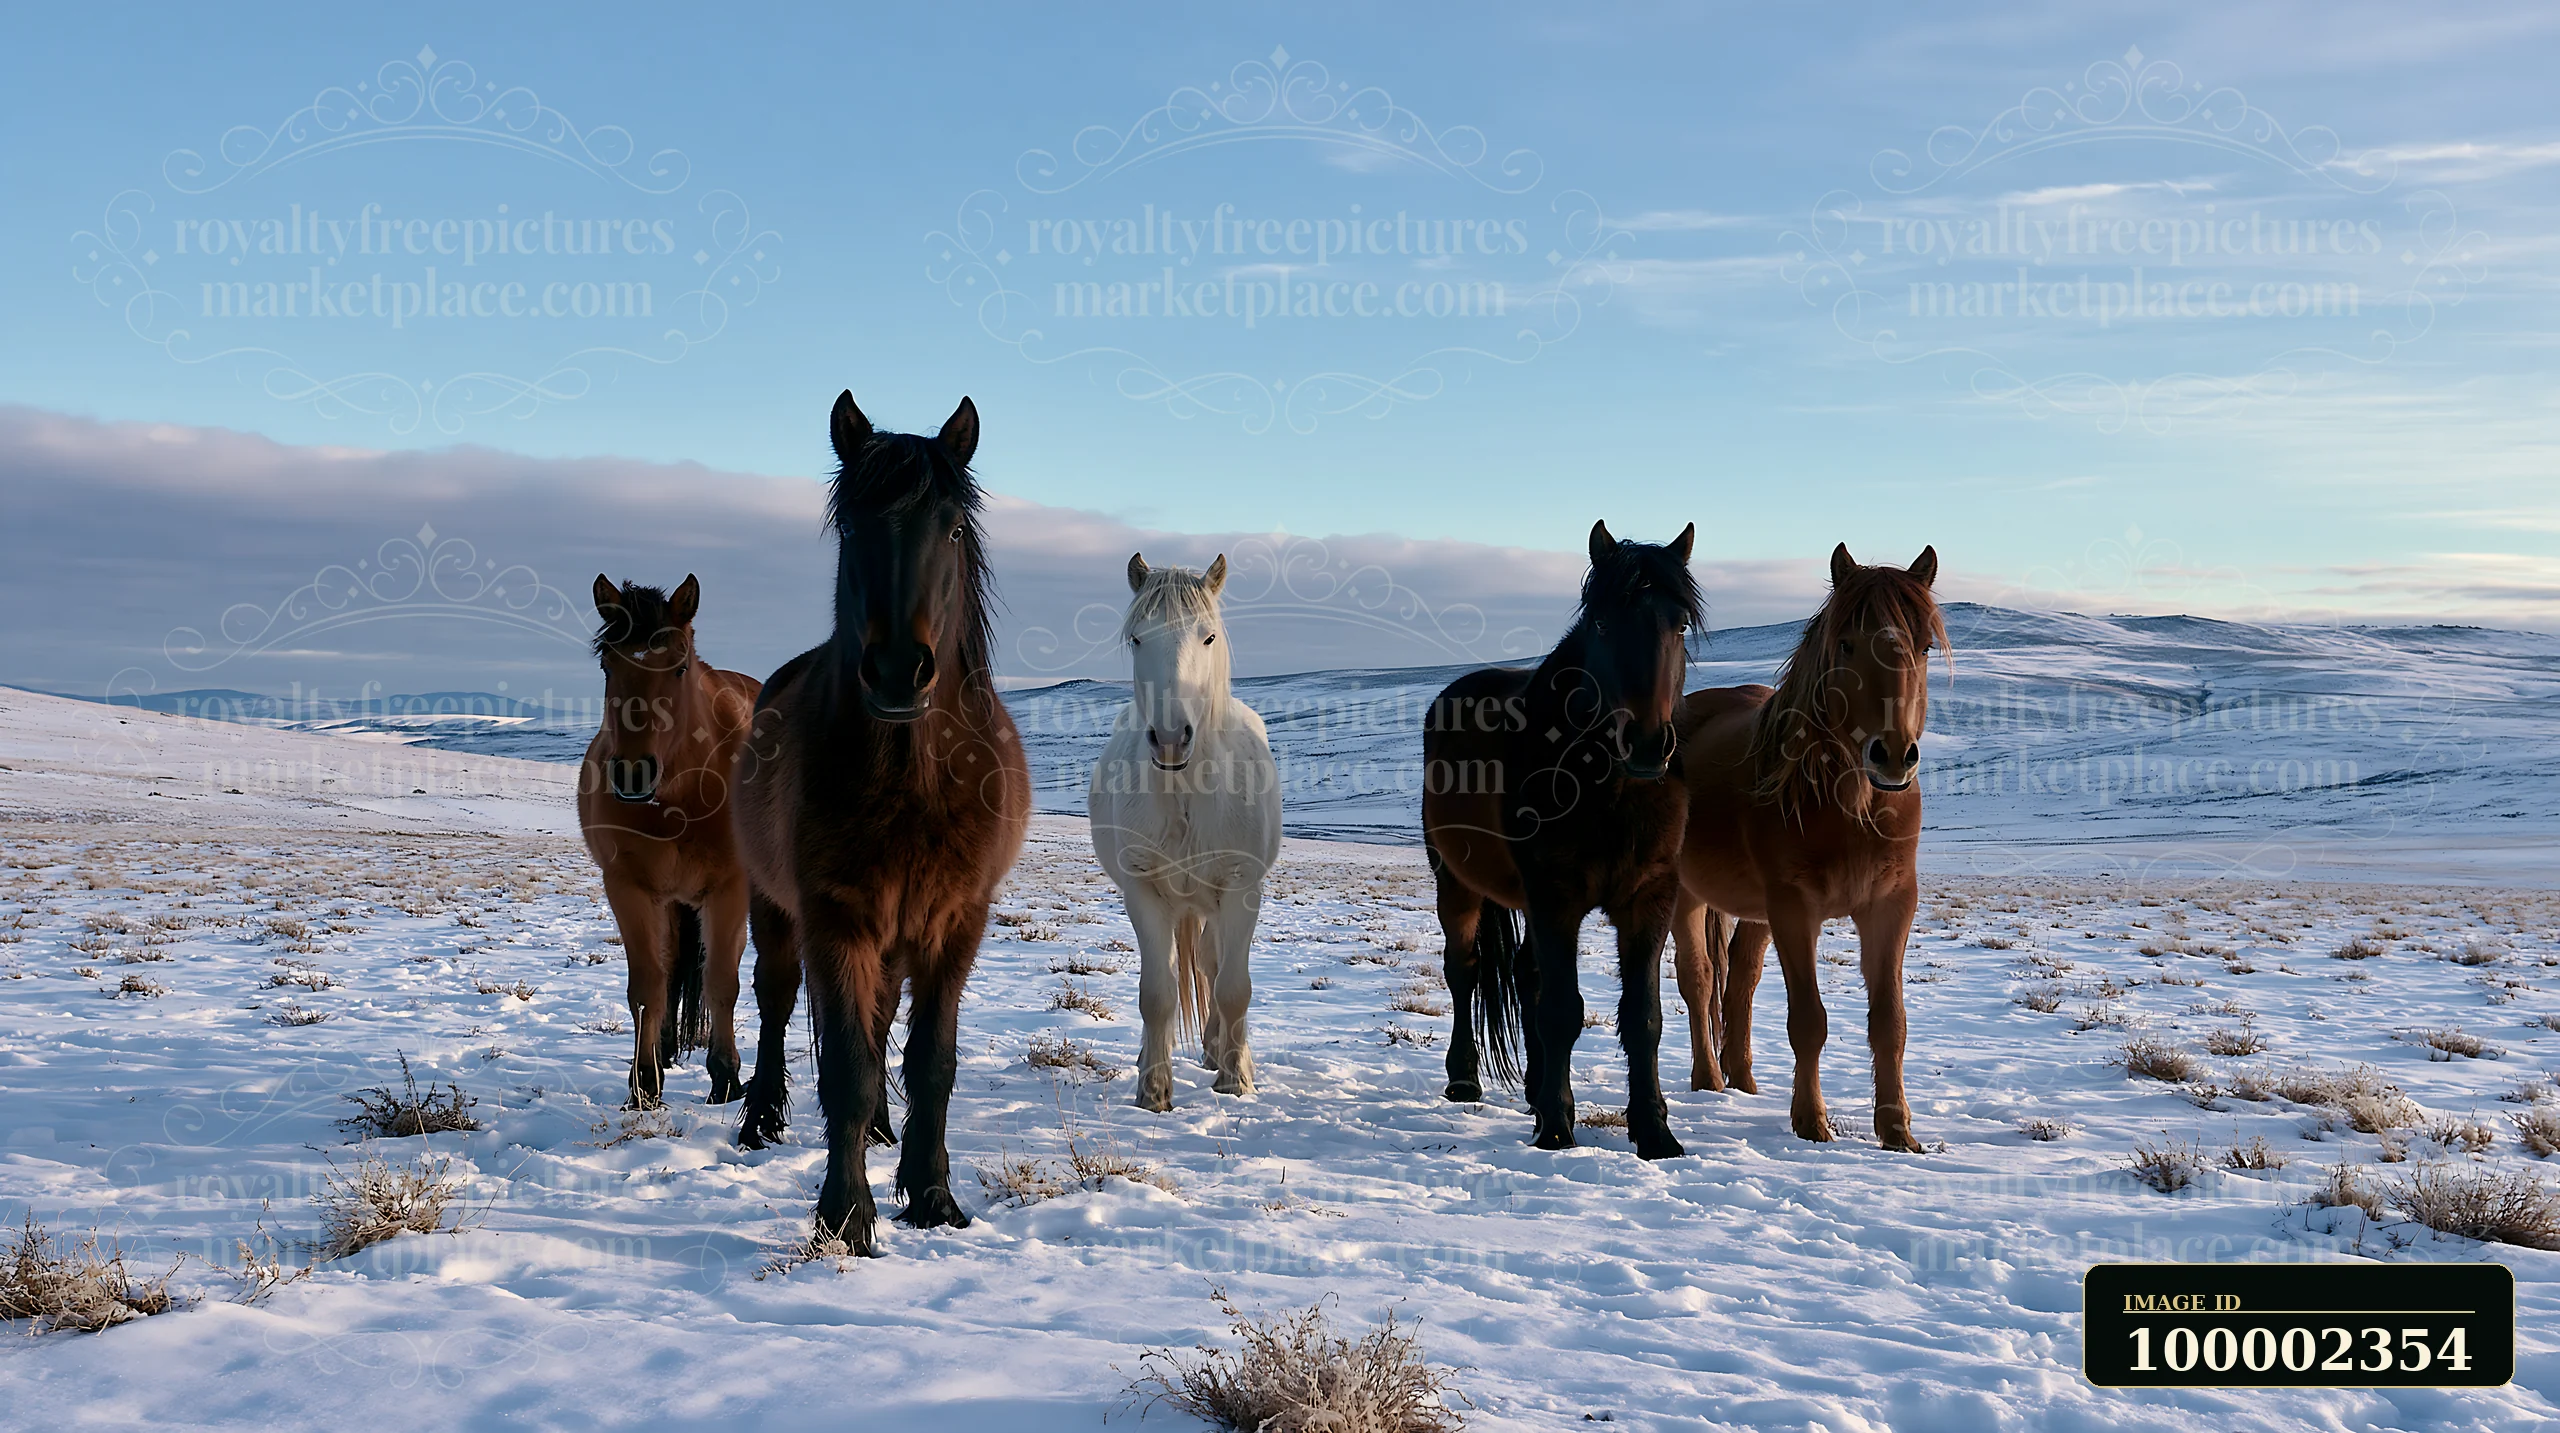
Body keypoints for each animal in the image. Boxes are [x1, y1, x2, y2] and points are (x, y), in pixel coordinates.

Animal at [577, 575, 763, 1109]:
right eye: (608, 665)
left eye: (679, 667)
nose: (633, 773)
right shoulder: (629, 889)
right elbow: (646, 988)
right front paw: (644, 1084)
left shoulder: (729, 890)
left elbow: (723, 983)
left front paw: (726, 1077)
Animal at [731, 391, 1030, 1253]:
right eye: (853, 528)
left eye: (953, 529)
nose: (899, 671)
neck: (911, 779)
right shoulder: (835, 919)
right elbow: (849, 1068)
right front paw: (846, 1215)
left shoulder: (957, 921)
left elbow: (931, 1061)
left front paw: (931, 1194)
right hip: (776, 910)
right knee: (774, 1000)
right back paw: (761, 1118)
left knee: (881, 1015)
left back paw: (881, 1134)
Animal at [1088, 553, 1282, 1112]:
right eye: (1137, 638)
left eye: (1208, 636)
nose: (1172, 738)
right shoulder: (1143, 892)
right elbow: (1156, 992)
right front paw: (1153, 1089)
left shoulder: (1241, 890)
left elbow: (1234, 987)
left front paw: (1236, 1079)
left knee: (1216, 968)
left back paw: (1221, 1053)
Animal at [1422, 520, 1701, 1158]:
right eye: (1602, 624)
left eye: (1678, 624)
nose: (1646, 742)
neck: (1611, 791)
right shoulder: (1557, 898)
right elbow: (1562, 1010)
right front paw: (1556, 1126)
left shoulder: (1649, 900)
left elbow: (1643, 1016)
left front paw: (1655, 1132)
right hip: (1457, 882)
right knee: (1464, 969)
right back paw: (1464, 1078)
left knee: (1526, 974)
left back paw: (1531, 1087)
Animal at [1668, 543, 1945, 1153]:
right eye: (1846, 643)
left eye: (1924, 647)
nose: (1893, 755)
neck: (1851, 806)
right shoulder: (1795, 908)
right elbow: (1808, 1022)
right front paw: (1811, 1123)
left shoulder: (1891, 906)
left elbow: (1890, 1023)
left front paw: (1898, 1130)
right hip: (1685, 894)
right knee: (1698, 979)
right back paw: (1709, 1079)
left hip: (1754, 913)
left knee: (1740, 983)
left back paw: (1744, 1081)